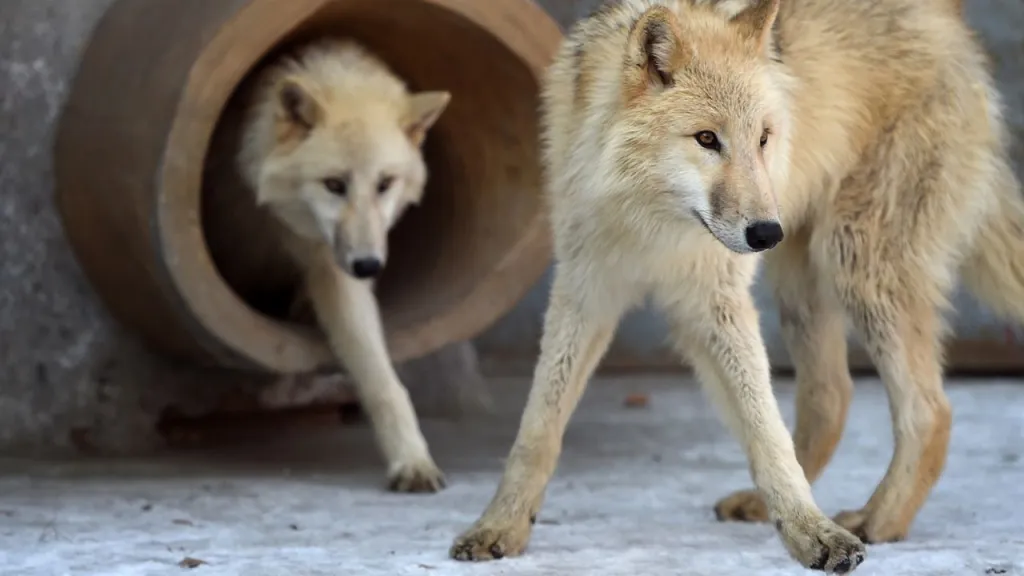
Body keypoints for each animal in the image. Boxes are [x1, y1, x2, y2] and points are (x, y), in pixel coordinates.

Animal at [203, 39, 451, 493]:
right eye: (334, 185)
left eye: (384, 184)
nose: (369, 266)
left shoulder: (335, 272)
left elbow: (382, 379)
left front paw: (411, 460)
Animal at [450, 0, 1023, 570]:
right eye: (707, 138)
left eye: (763, 138)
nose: (766, 232)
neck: (653, 225)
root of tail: (954, 27)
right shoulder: (586, 293)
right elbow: (538, 428)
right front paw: (499, 525)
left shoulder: (718, 304)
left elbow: (766, 433)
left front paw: (816, 534)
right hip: (801, 284)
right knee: (832, 395)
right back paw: (775, 506)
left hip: (854, 264)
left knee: (929, 411)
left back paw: (877, 520)